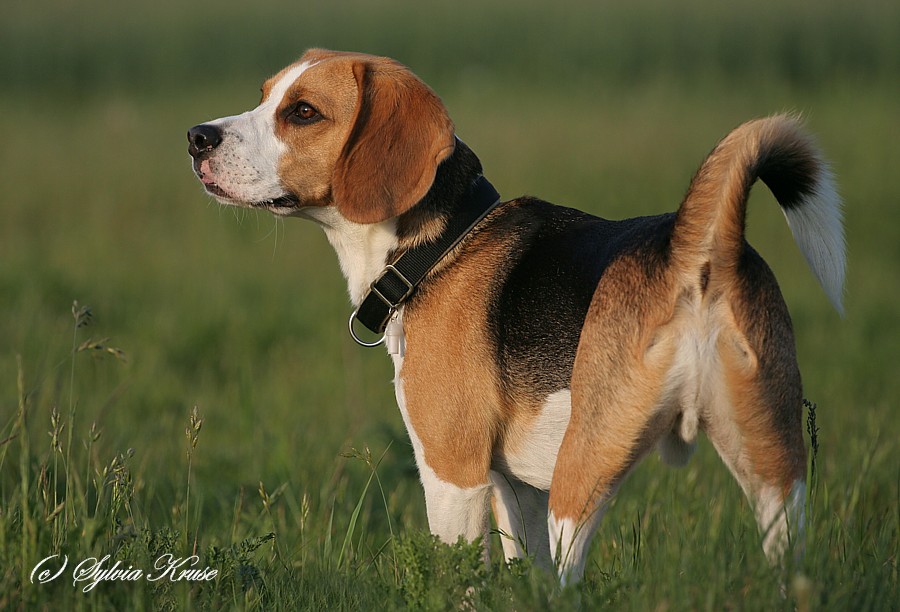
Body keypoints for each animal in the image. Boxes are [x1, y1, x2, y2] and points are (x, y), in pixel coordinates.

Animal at [188, 47, 844, 584]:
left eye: (303, 112)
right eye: (265, 94)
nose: (197, 137)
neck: (438, 244)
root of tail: (693, 251)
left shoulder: (453, 469)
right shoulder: (517, 488)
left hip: (581, 471)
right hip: (775, 468)